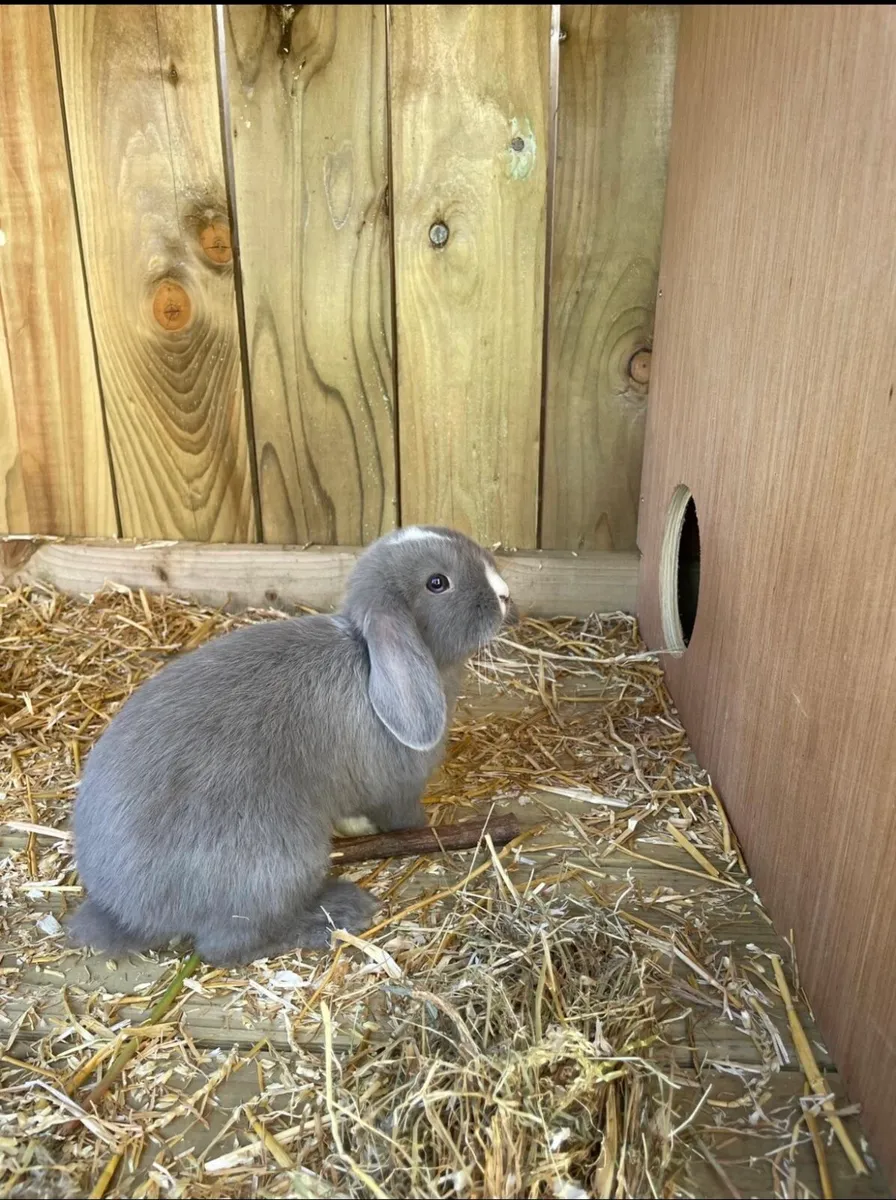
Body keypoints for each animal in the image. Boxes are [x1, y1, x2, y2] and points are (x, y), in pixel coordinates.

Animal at [67, 526, 515, 967]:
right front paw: (422, 828)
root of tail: (130, 910)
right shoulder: (396, 791)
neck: (370, 660)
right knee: (226, 948)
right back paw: (337, 912)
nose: (505, 594)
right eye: (437, 582)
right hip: (281, 866)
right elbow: (401, 816)